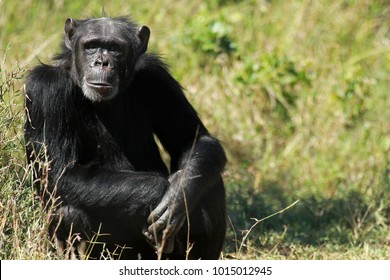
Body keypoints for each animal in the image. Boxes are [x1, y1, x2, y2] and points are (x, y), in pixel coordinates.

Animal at [23, 15, 225, 260]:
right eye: (91, 46)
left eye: (115, 49)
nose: (102, 62)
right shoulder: (45, 90)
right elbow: (61, 173)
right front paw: (163, 192)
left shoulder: (158, 77)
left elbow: (192, 139)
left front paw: (179, 193)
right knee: (70, 212)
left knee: (208, 180)